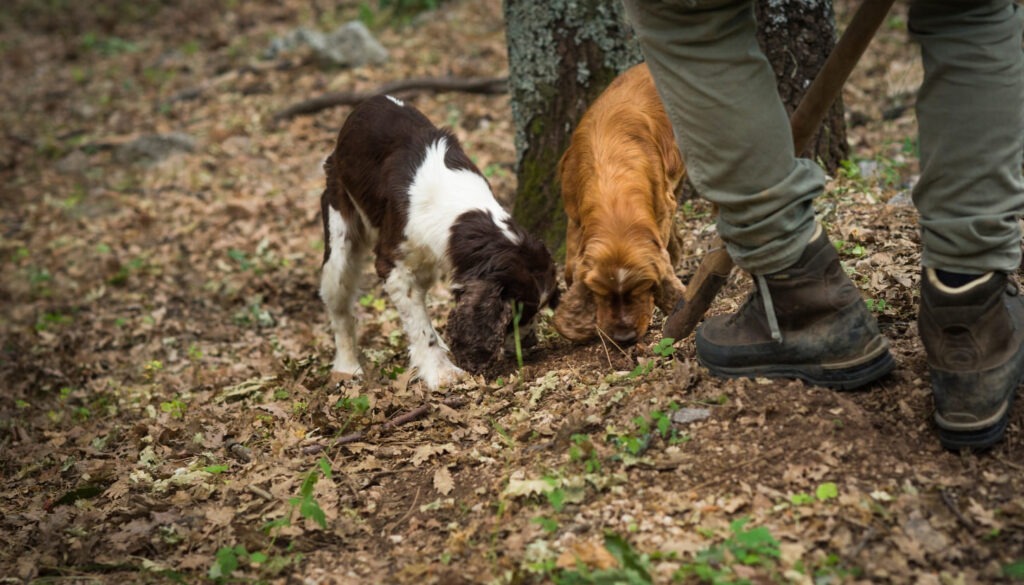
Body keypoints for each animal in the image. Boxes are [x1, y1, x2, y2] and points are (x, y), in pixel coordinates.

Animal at [319, 94, 561, 389]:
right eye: (519, 313)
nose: (530, 344)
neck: (457, 208)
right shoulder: (393, 265)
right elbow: (421, 328)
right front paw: (441, 372)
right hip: (339, 237)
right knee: (340, 306)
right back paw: (346, 367)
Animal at [552, 63, 688, 348]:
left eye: (643, 287)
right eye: (600, 293)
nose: (624, 338)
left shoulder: (661, 207)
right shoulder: (573, 215)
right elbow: (570, 268)